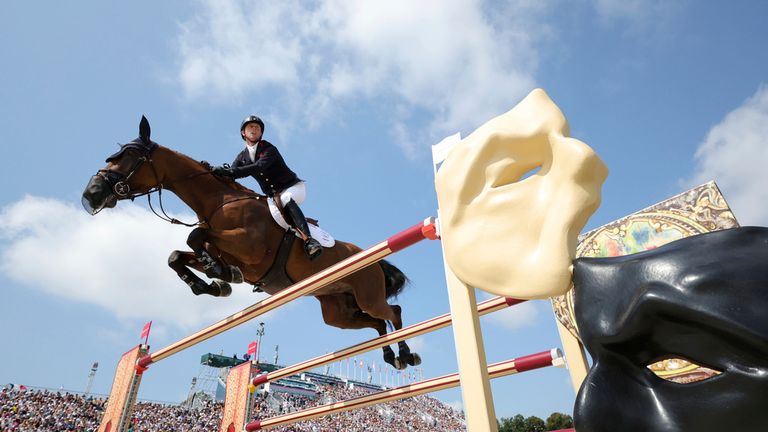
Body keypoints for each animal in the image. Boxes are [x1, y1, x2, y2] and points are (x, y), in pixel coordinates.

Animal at [79, 116, 420, 370]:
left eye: (128, 156)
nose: (90, 195)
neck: (218, 202)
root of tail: (373, 260)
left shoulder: (250, 248)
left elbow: (194, 236)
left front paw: (218, 277)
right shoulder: (224, 250)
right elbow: (178, 254)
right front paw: (212, 282)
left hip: (367, 295)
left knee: (393, 311)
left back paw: (405, 354)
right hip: (338, 311)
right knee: (378, 322)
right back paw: (390, 355)